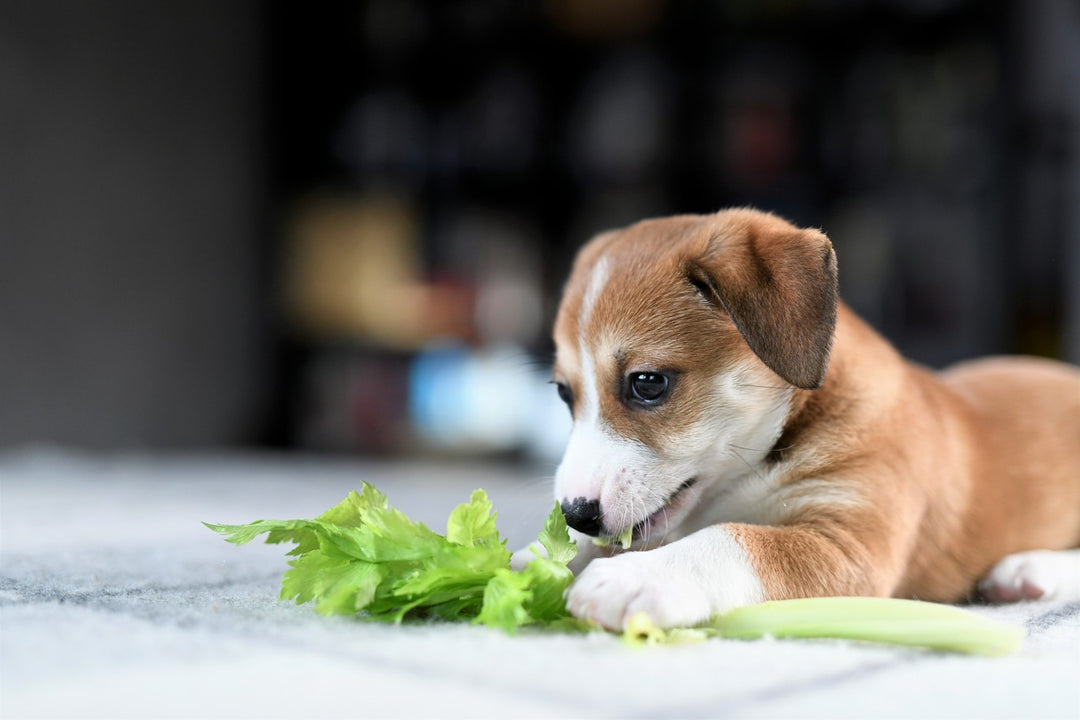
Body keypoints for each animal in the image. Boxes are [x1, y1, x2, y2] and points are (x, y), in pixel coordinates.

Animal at [548, 205, 1080, 626]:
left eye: (648, 383)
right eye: (563, 393)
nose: (576, 514)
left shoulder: (849, 547)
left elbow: (732, 540)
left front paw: (636, 577)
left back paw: (1031, 570)